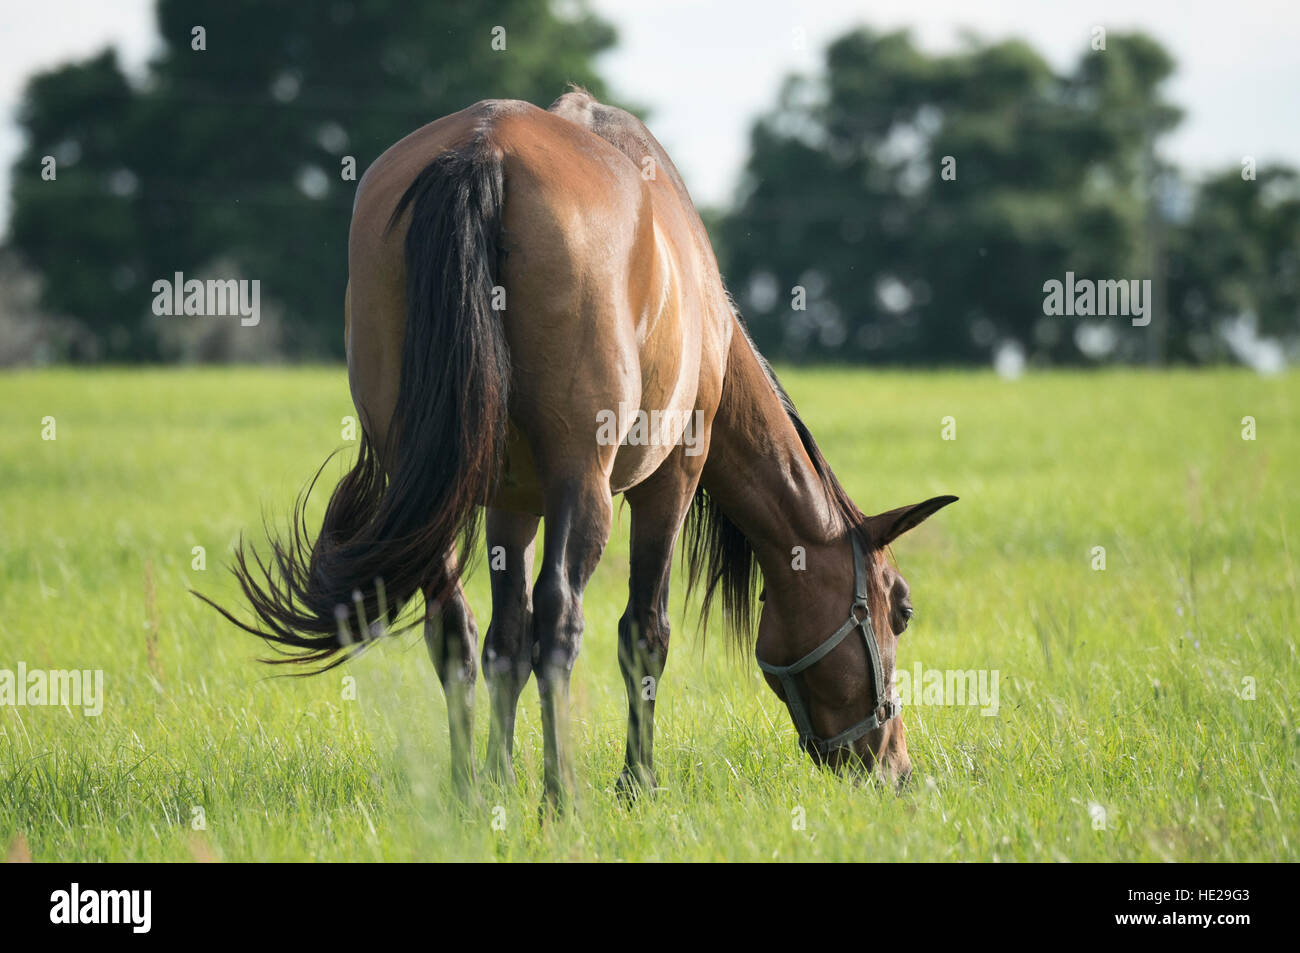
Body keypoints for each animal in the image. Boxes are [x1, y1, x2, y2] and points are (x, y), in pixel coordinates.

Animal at [200, 87, 956, 811]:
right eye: (901, 608)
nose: (894, 765)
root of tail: (484, 149)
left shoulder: (510, 501)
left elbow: (507, 637)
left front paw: (499, 777)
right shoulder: (669, 478)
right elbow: (642, 633)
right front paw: (635, 782)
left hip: (428, 488)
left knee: (456, 627)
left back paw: (468, 789)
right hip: (585, 483)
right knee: (562, 619)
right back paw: (561, 796)